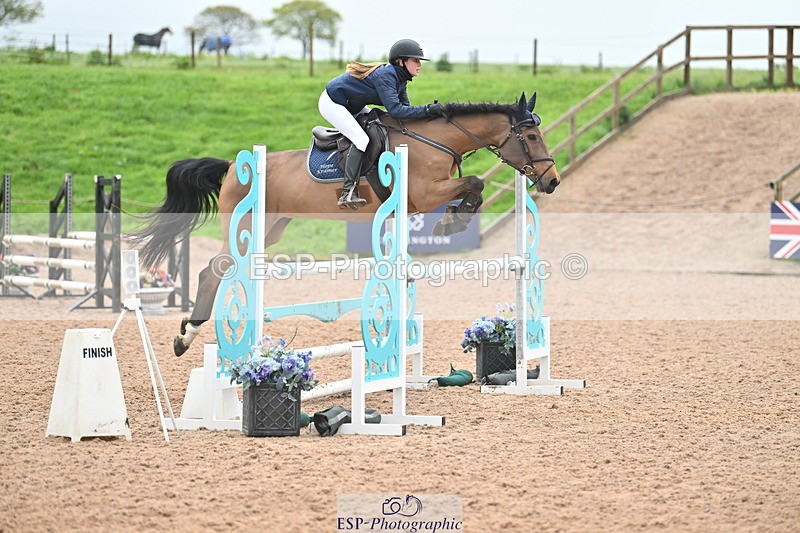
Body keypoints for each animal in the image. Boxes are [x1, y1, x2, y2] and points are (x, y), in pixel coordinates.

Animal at [132, 92, 560, 357]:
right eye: (531, 135)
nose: (552, 181)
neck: (434, 140)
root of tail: (234, 165)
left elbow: (475, 186)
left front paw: (454, 218)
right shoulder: (424, 192)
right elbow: (475, 183)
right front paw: (452, 222)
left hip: (272, 229)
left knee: (220, 271)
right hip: (246, 229)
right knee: (214, 271)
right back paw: (186, 337)